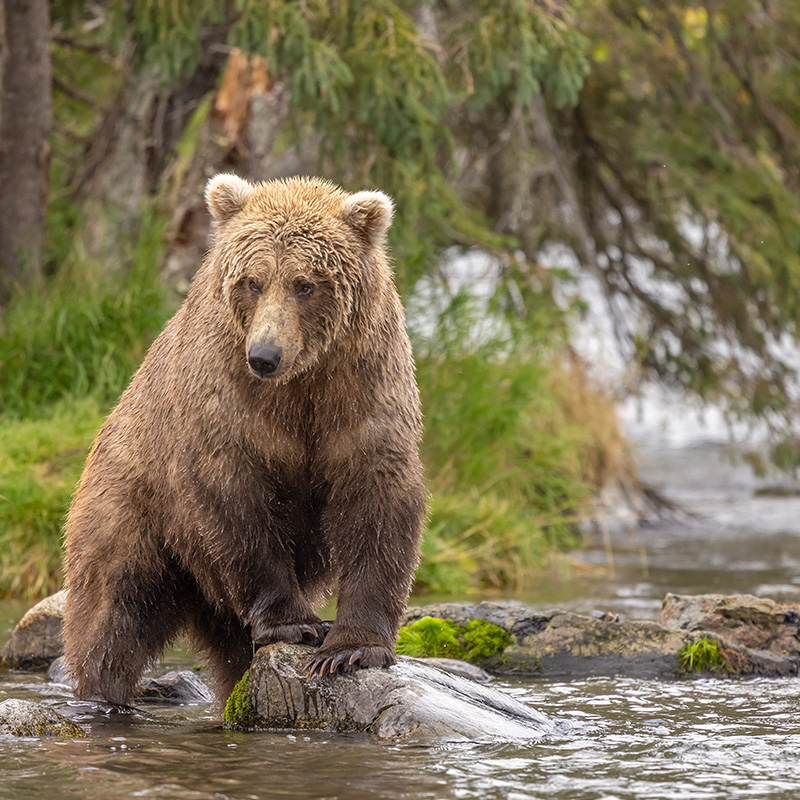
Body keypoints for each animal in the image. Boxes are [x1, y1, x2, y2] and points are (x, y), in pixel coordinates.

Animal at [62, 174, 427, 705]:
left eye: (304, 283)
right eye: (253, 281)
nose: (264, 356)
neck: (301, 384)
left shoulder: (361, 390)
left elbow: (375, 503)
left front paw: (351, 649)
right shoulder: (229, 402)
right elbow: (237, 502)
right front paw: (296, 624)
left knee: (232, 652)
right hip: (131, 504)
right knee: (114, 613)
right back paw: (103, 690)